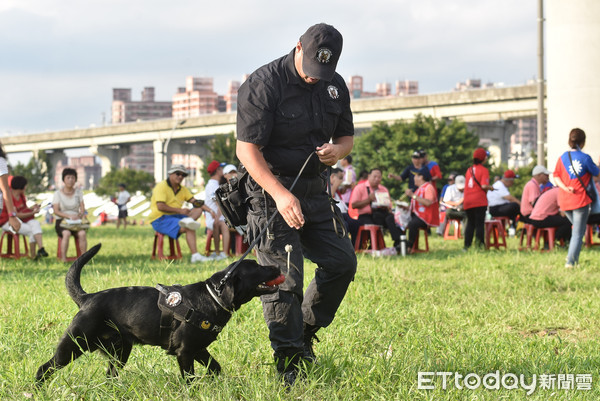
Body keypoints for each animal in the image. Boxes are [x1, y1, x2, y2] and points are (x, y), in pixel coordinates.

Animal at [35, 242, 284, 382]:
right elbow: (189, 379)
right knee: (44, 368)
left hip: (120, 351)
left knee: (110, 375)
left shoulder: (198, 348)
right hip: (73, 344)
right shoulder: (185, 352)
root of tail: (87, 298)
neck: (212, 297)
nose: (277, 265)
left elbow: (215, 368)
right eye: (257, 267)